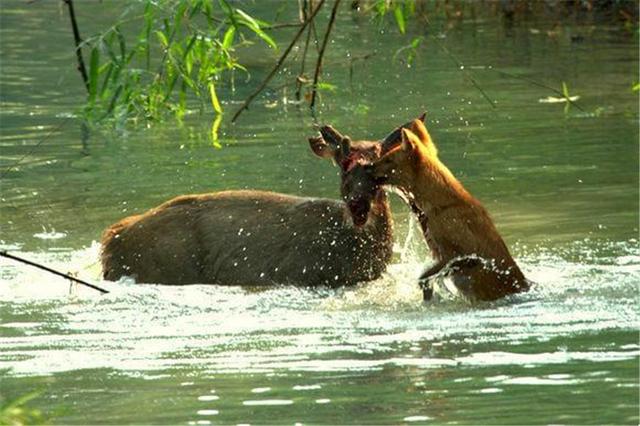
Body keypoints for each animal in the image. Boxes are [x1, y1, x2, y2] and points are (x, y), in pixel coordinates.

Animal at [344, 118, 528, 302]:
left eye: (388, 160)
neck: (438, 206)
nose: (365, 167)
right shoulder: (439, 254)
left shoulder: (453, 254)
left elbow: (426, 276)